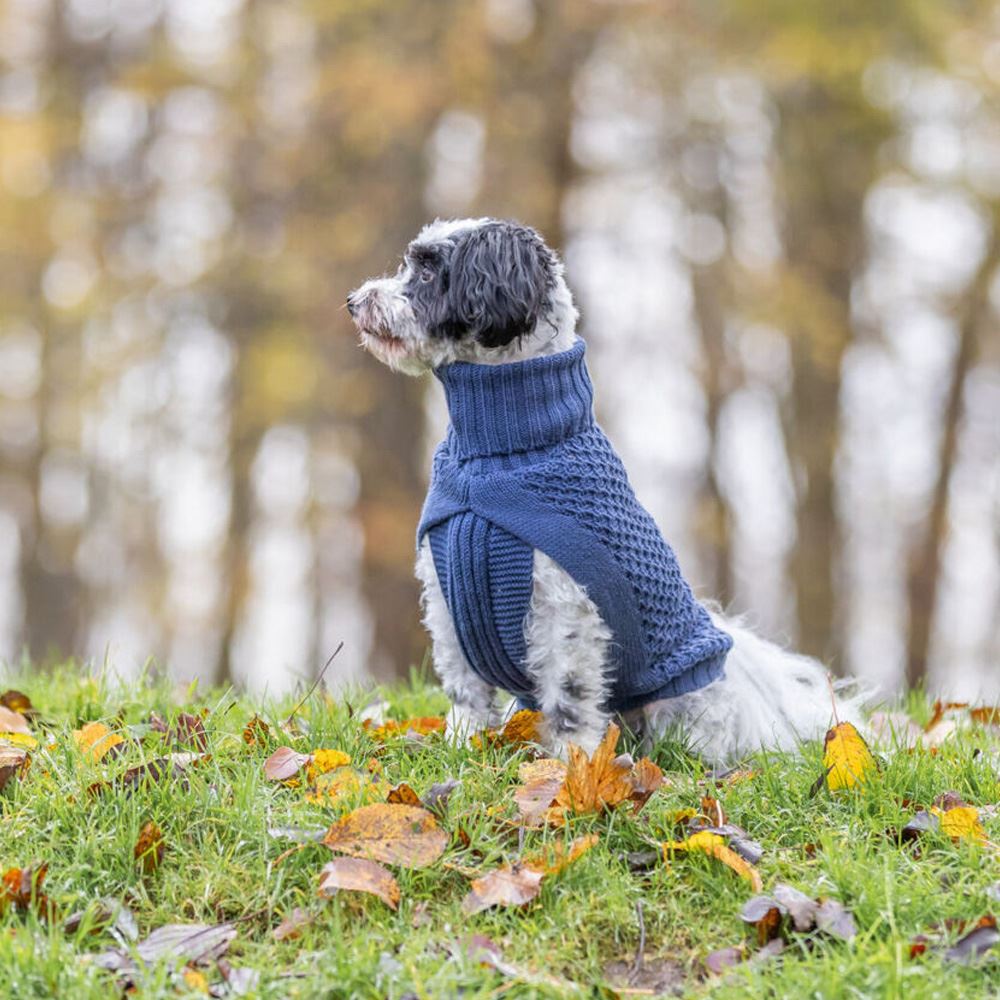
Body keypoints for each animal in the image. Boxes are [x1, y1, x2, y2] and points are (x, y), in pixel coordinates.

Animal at [346, 219, 860, 764]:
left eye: (427, 272)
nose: (353, 301)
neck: (500, 450)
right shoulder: (446, 599)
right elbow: (466, 691)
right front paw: (462, 747)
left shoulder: (565, 608)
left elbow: (569, 700)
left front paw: (568, 767)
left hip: (680, 704)